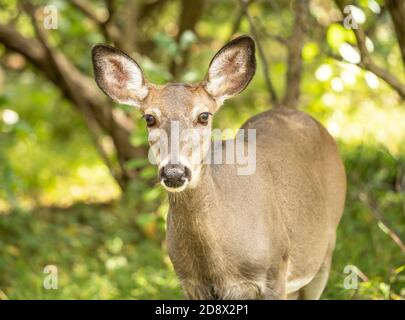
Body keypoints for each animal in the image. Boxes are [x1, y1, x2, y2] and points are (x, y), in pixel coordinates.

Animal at [91, 35, 344, 300]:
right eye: (149, 118)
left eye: (204, 115)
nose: (174, 172)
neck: (217, 266)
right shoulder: (189, 283)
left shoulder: (276, 270)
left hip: (324, 250)